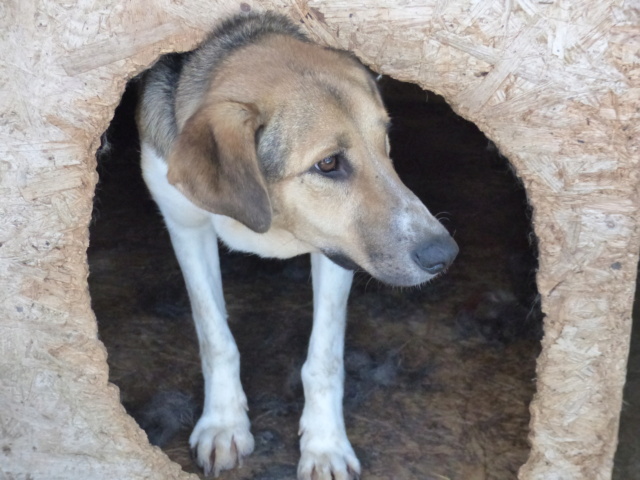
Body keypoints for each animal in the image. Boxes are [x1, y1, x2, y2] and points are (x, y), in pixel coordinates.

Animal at [136, 11, 456, 480]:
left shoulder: (338, 253)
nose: (444, 255)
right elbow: (215, 337)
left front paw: (324, 446)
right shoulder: (184, 223)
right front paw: (223, 423)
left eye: (385, 141)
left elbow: (324, 359)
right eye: (328, 163)